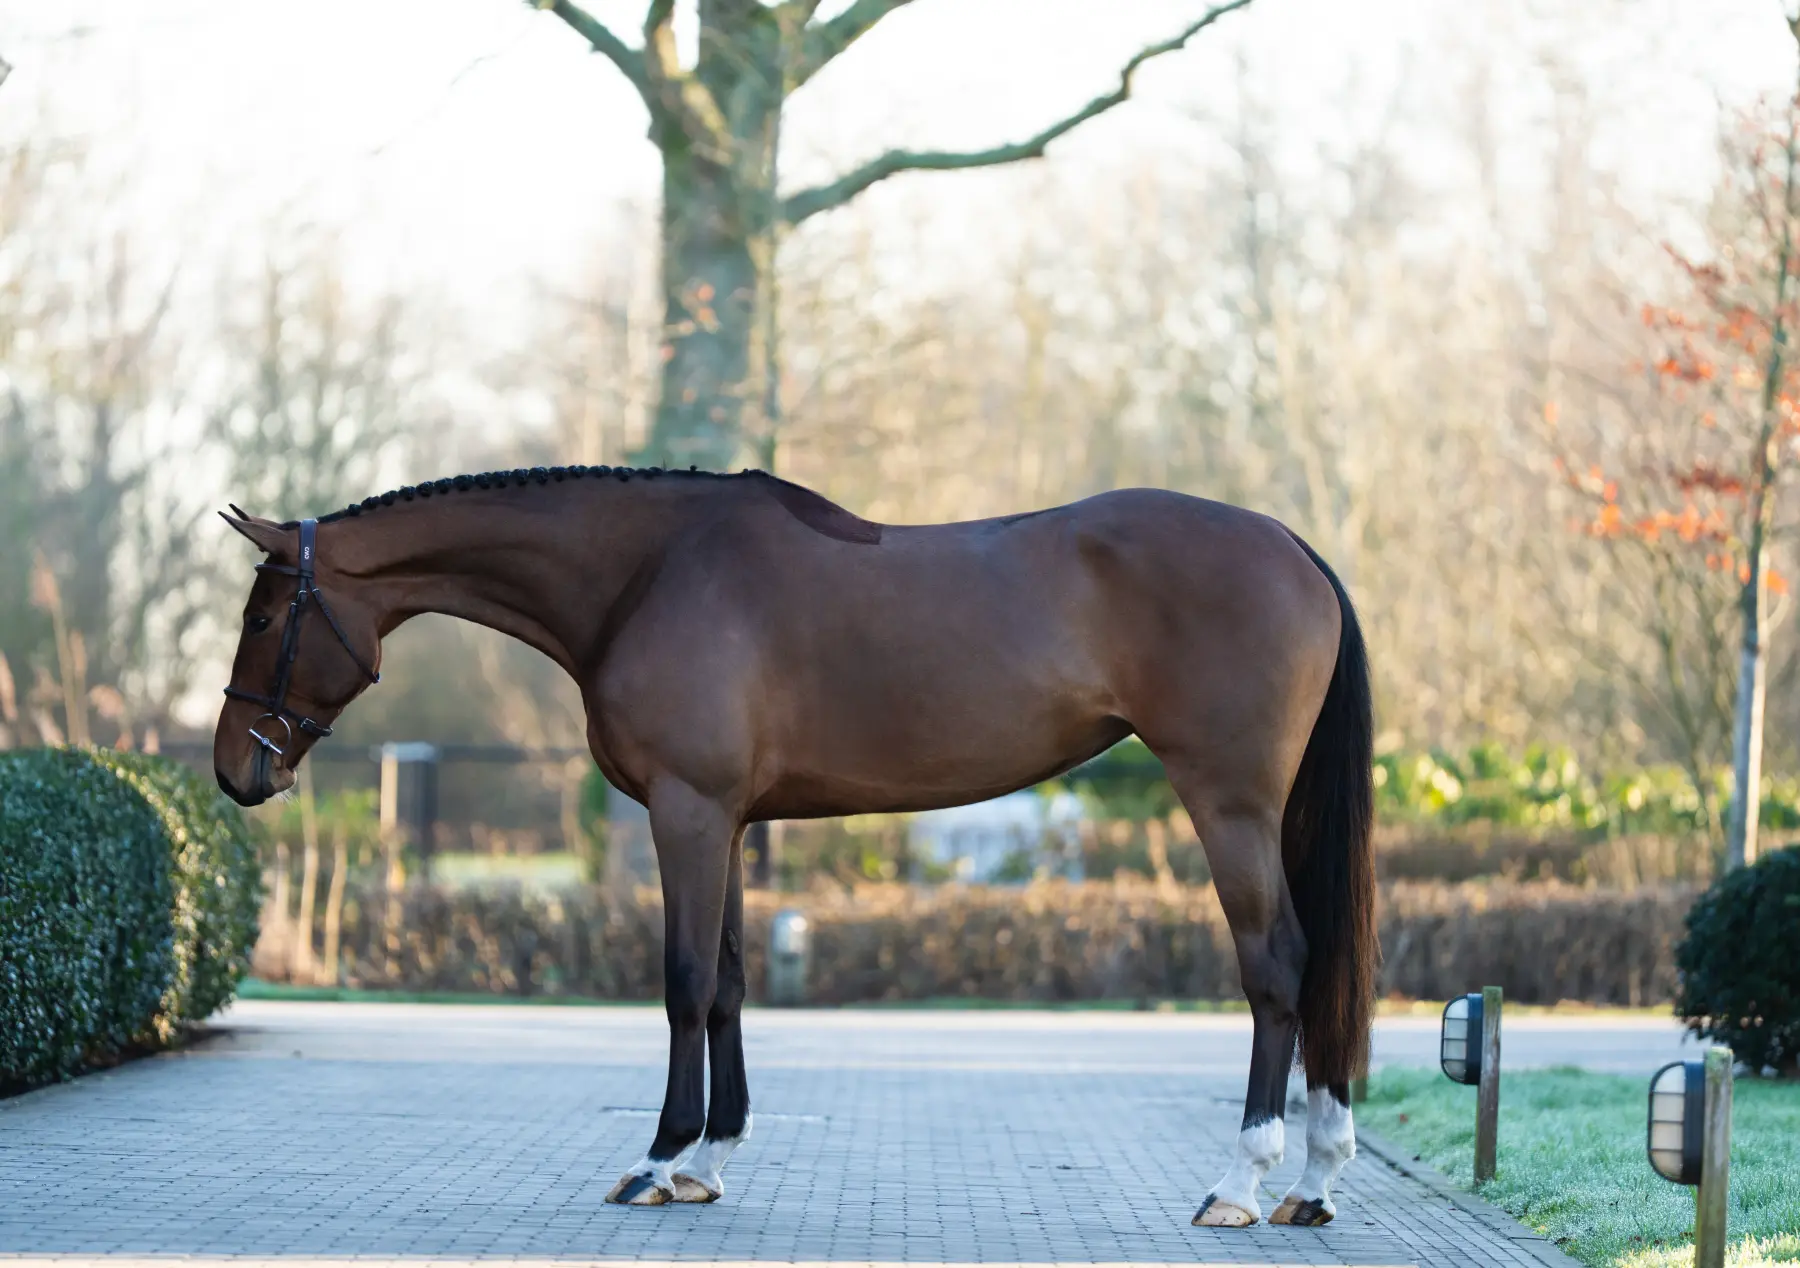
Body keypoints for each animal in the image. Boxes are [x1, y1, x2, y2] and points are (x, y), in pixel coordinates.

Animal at [214, 463, 1375, 1228]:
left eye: (267, 616)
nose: (235, 770)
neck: (648, 573)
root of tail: (1295, 548)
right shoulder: (728, 818)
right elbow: (729, 980)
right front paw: (710, 1159)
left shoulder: (686, 811)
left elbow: (685, 981)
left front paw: (657, 1159)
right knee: (1316, 964)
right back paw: (1315, 1181)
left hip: (1228, 801)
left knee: (1278, 963)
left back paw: (1244, 1181)